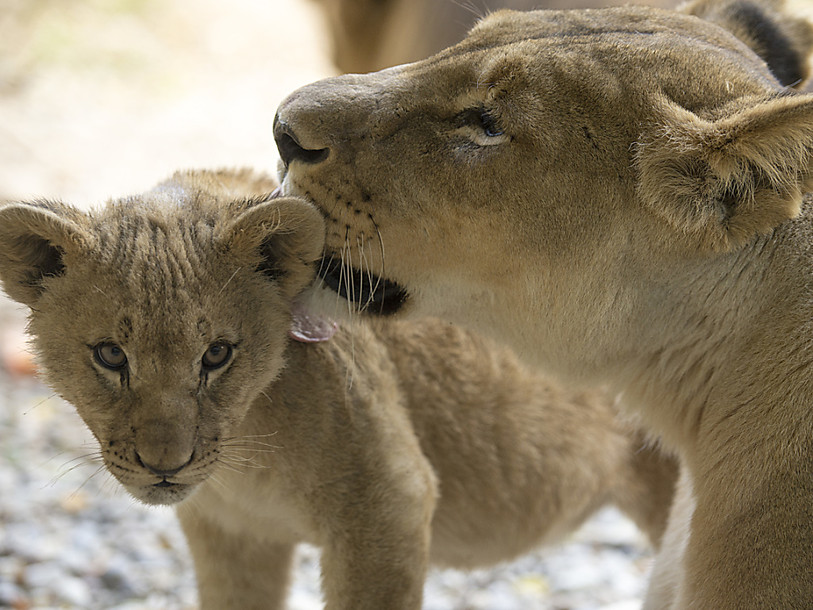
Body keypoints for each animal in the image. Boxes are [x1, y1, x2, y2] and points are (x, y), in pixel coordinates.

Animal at [0, 169, 677, 609]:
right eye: (111, 355)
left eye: (216, 354)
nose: (165, 466)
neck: (244, 456)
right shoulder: (233, 538)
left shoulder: (389, 507)